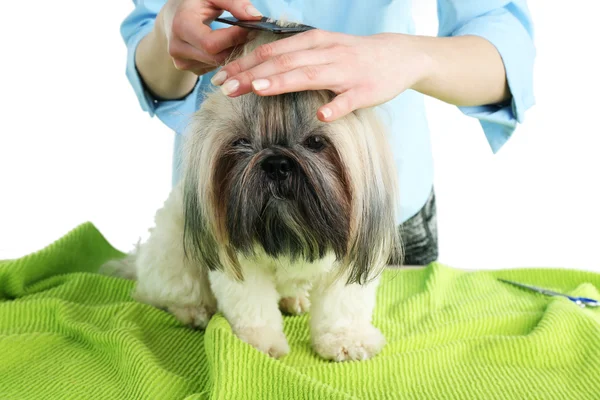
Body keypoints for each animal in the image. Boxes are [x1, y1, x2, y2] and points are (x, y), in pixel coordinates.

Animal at [103, 26, 404, 360]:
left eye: (315, 142)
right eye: (241, 142)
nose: (276, 164)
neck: (290, 233)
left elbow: (342, 307)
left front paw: (347, 340)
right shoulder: (238, 260)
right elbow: (253, 307)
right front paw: (260, 344)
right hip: (173, 253)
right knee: (164, 292)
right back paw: (193, 311)